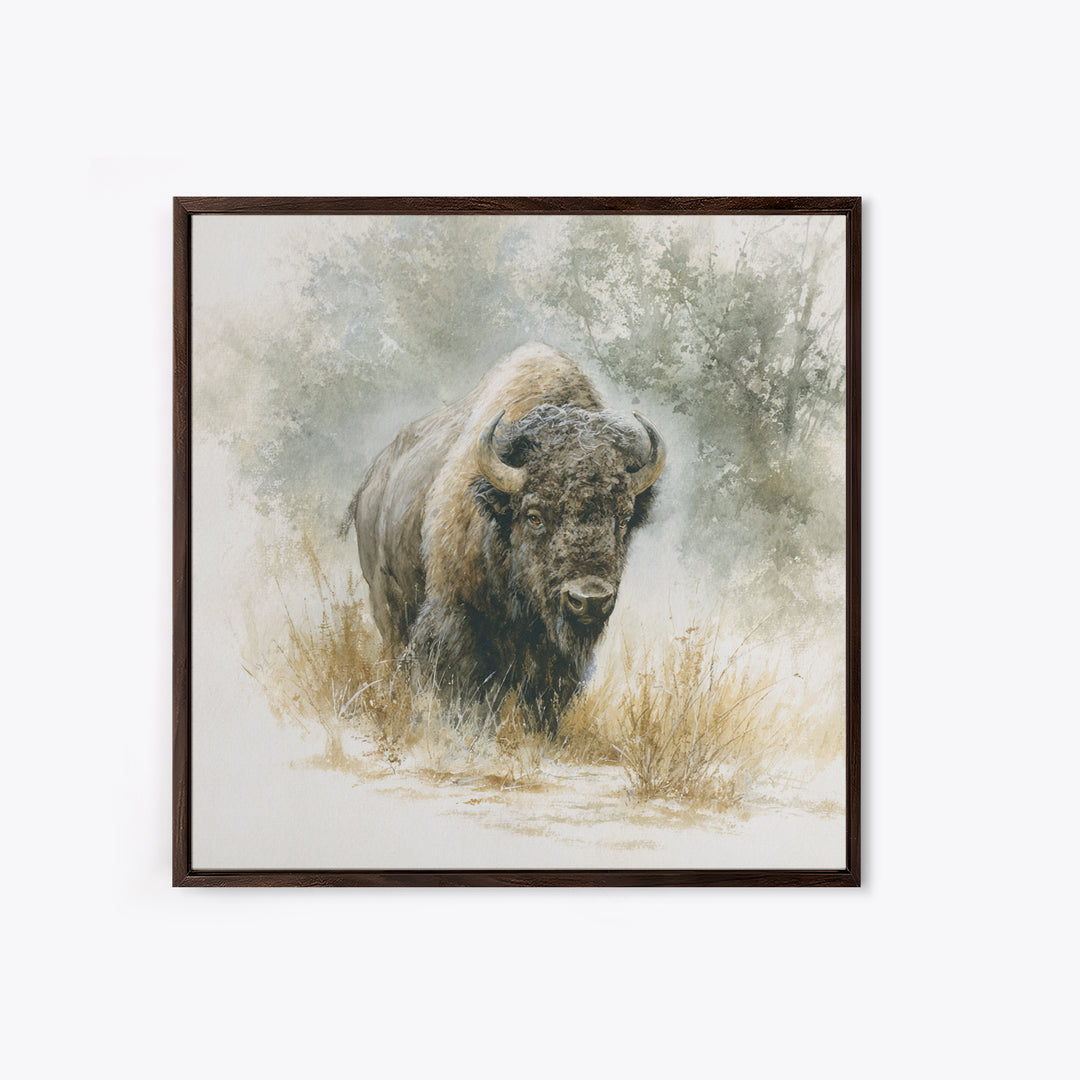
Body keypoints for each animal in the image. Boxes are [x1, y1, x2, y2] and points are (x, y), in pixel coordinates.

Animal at [344, 343, 666, 729]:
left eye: (623, 517)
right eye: (534, 516)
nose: (589, 599)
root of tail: (370, 483)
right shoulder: (457, 618)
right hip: (387, 602)